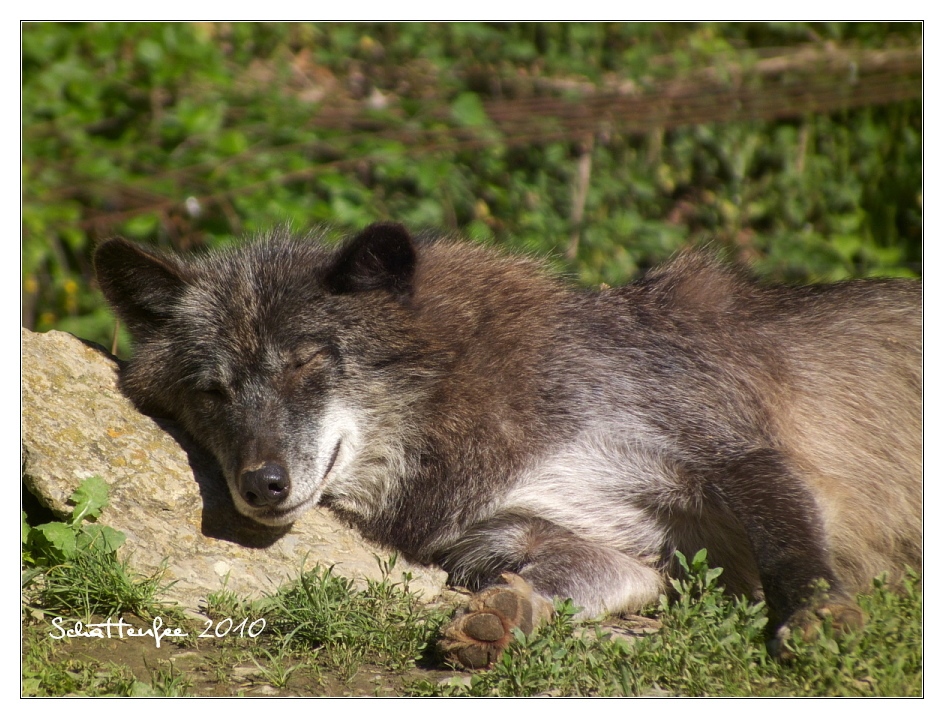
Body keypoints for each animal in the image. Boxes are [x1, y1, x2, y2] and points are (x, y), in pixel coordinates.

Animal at [96, 224, 920, 668]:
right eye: (214, 391)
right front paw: (507, 614)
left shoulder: (731, 454)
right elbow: (581, 578)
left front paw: (819, 615)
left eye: (306, 363)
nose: (259, 484)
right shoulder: (564, 539)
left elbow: (786, 544)